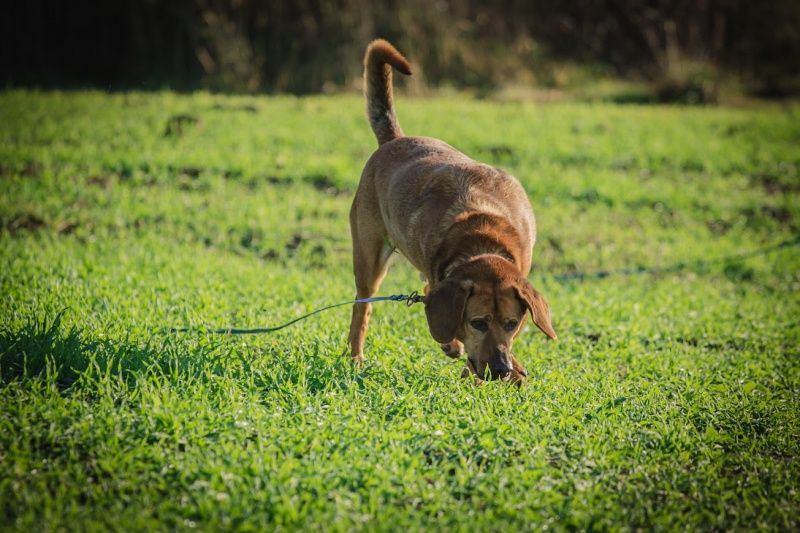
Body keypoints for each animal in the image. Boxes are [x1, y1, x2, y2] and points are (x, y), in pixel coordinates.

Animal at [346, 39, 560, 380]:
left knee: (421, 291)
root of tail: (395, 139)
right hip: (369, 258)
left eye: (512, 323)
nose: (500, 369)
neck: (482, 235)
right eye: (478, 323)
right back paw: (357, 357)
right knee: (362, 308)